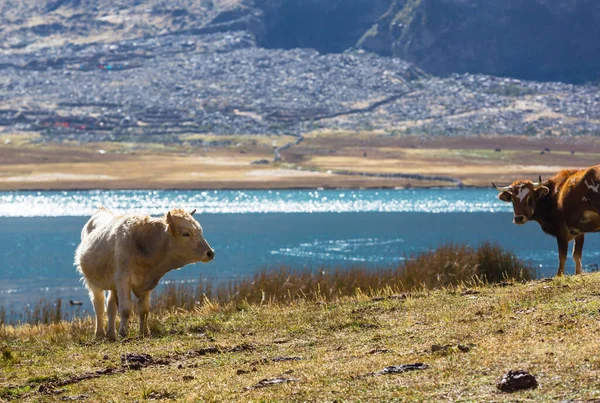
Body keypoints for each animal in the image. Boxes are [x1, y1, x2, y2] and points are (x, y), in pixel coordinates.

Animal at [75, 210, 214, 340]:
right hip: (93, 283)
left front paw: (144, 332)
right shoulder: (123, 279)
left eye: (200, 230)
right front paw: (123, 332)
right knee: (98, 305)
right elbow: (125, 308)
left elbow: (144, 309)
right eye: (186, 233)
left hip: (112, 286)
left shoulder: (147, 283)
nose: (210, 253)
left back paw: (110, 334)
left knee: (110, 307)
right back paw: (99, 333)